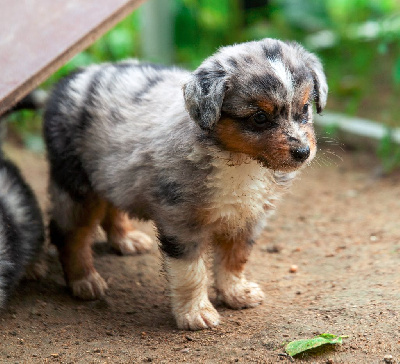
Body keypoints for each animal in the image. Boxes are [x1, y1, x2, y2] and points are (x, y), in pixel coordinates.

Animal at [43, 38, 326, 332]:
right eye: (259, 117)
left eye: (305, 108)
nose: (303, 152)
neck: (239, 161)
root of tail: (73, 76)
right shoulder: (181, 222)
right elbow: (191, 272)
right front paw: (196, 313)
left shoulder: (249, 217)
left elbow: (235, 258)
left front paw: (236, 293)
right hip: (75, 186)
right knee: (68, 233)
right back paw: (84, 281)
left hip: (109, 173)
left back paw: (125, 239)